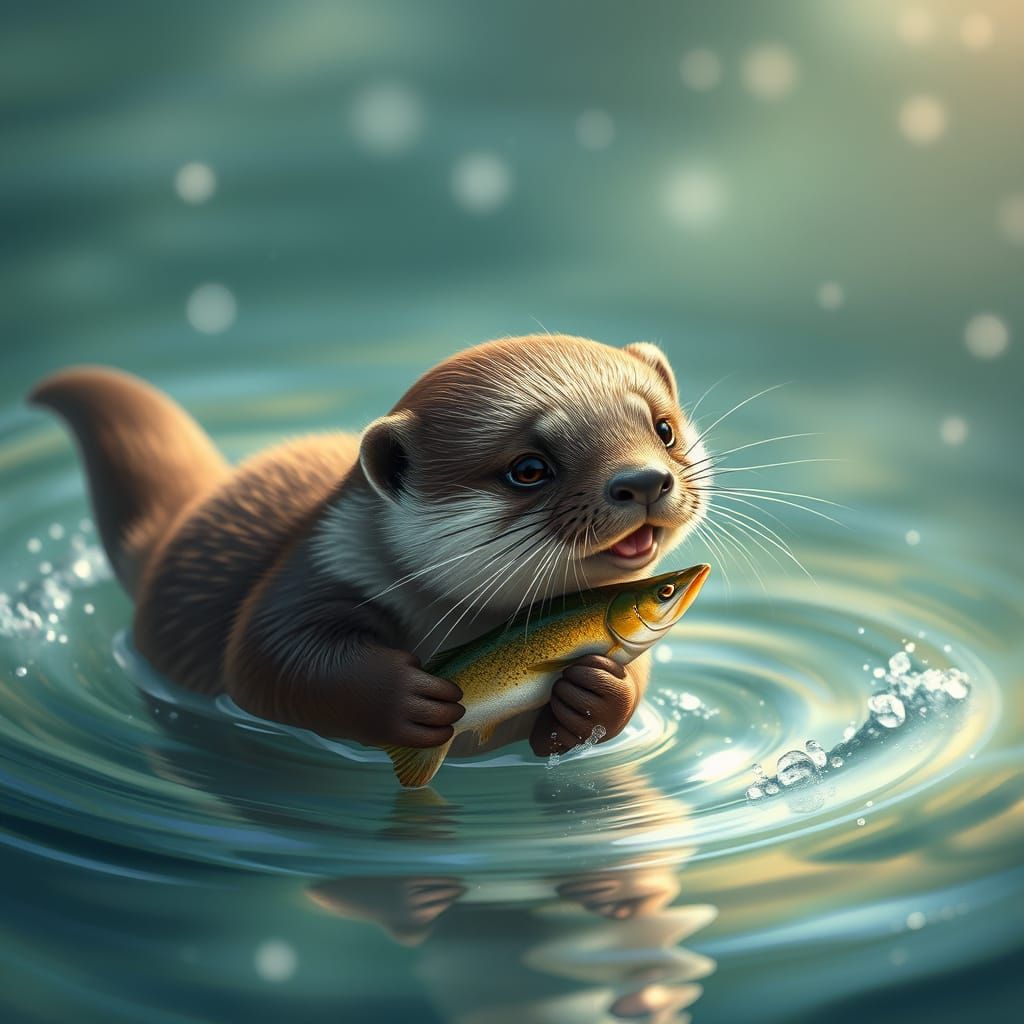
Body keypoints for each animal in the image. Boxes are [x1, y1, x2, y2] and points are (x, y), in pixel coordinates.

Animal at [30, 334, 709, 758]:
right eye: (529, 469)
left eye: (664, 428)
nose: (643, 480)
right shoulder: (316, 563)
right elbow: (266, 659)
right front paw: (402, 698)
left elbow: (630, 680)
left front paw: (598, 691)